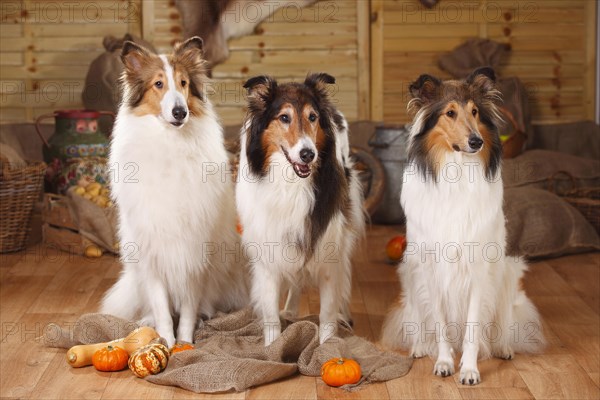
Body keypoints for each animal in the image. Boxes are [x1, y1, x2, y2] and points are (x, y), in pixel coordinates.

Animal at [102, 36, 247, 346]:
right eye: (158, 84)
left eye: (183, 83)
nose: (181, 112)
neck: (171, 142)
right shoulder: (152, 254)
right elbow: (161, 307)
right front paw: (166, 341)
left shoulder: (194, 254)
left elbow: (190, 308)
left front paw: (186, 343)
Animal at [237, 72, 364, 346]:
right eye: (284, 117)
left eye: (312, 117)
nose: (308, 154)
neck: (291, 184)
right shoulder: (270, 250)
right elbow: (271, 313)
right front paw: (272, 347)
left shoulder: (328, 248)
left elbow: (327, 310)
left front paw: (326, 346)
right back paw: (291, 310)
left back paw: (344, 314)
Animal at [382, 68, 548, 384]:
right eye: (450, 113)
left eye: (474, 112)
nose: (476, 142)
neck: (456, 172)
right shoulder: (431, 267)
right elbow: (440, 324)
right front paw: (444, 362)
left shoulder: (479, 268)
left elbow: (473, 328)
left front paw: (469, 370)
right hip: (409, 271)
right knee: (418, 321)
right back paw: (420, 347)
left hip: (508, 272)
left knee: (502, 324)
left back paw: (503, 348)